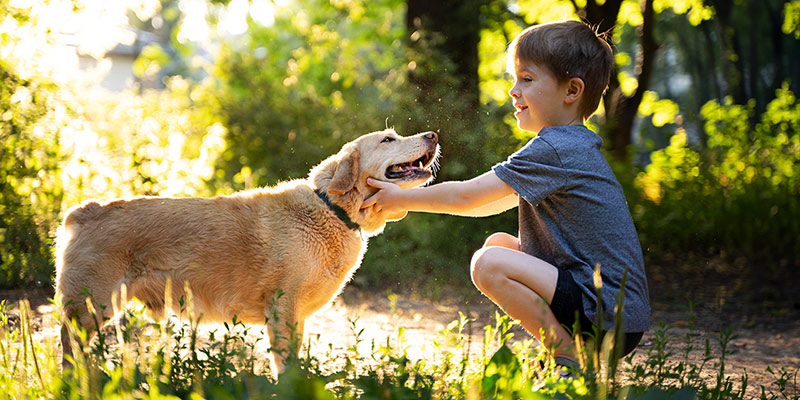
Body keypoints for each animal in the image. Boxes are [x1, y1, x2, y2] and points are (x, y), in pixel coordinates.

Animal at [55, 129, 440, 378]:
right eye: (388, 140)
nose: (433, 135)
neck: (331, 209)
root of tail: (86, 211)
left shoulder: (296, 318)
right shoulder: (282, 310)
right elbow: (285, 366)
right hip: (90, 309)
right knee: (67, 348)